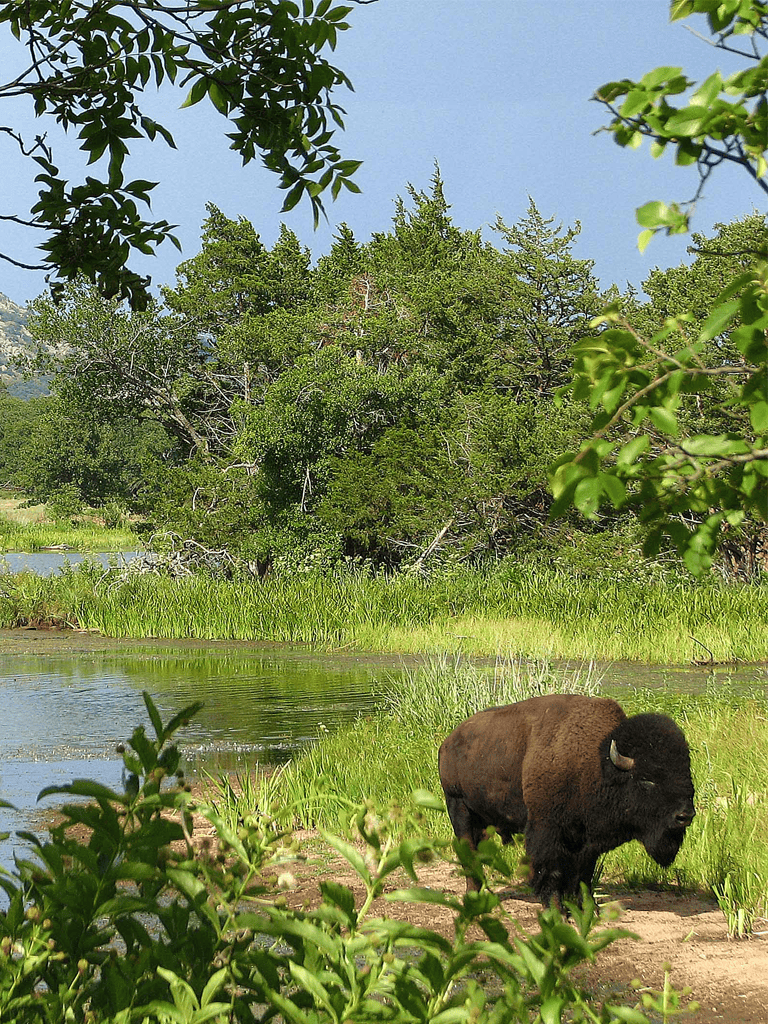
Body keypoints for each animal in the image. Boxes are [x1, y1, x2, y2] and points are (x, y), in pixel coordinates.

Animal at [438, 693, 695, 905]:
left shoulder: (586, 840)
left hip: (483, 820)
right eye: (647, 780)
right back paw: (474, 896)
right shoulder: (548, 831)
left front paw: (586, 908)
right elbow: (551, 872)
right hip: (459, 808)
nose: (685, 815)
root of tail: (448, 742)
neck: (597, 762)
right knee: (468, 853)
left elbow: (583, 874)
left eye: (687, 771)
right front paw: (556, 909)